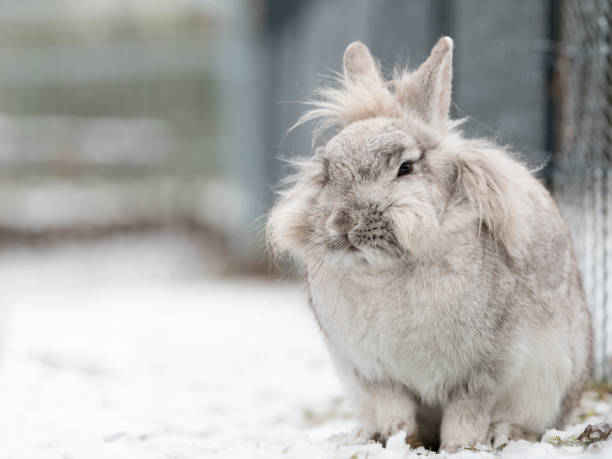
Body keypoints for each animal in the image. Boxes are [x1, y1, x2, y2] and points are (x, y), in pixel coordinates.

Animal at [268, 36, 592, 452]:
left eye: (405, 168)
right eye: (326, 172)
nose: (343, 223)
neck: (383, 271)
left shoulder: (482, 370)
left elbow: (466, 413)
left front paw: (459, 449)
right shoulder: (374, 373)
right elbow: (397, 415)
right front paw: (397, 443)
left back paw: (506, 435)